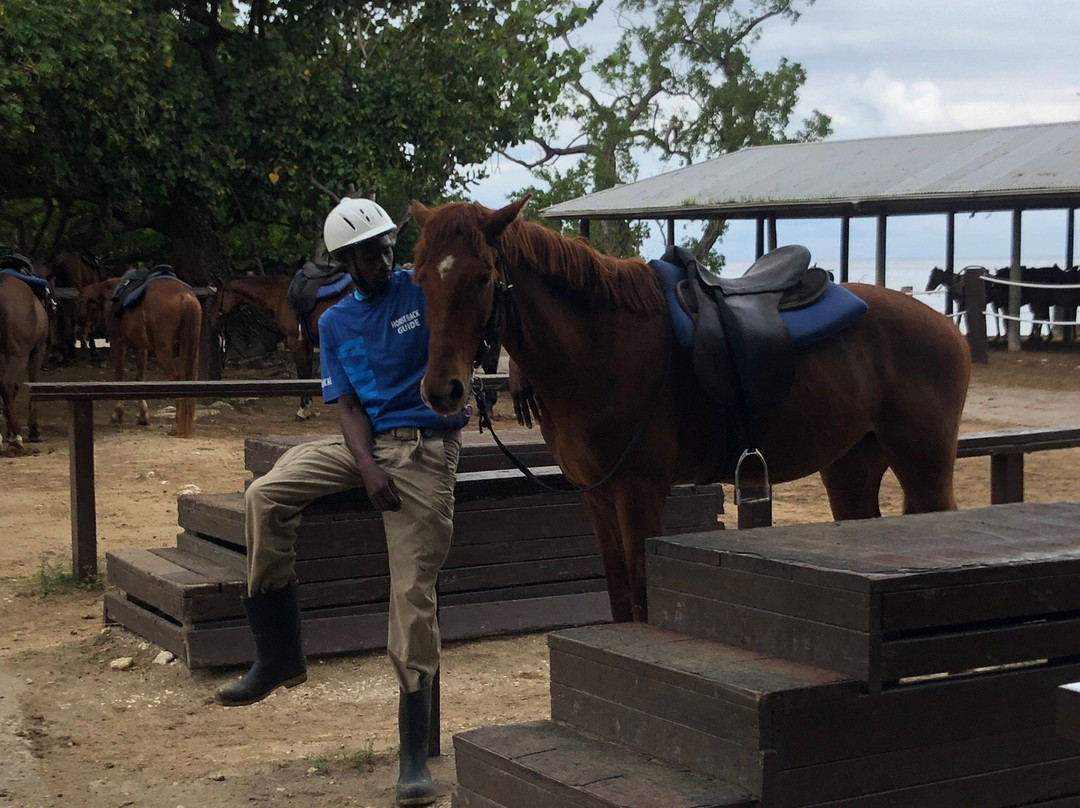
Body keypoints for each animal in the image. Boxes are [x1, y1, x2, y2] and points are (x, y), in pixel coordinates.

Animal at [410, 197, 972, 626]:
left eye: (483, 278)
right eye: (420, 279)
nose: (442, 390)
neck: (602, 346)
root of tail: (947, 327)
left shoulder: (639, 494)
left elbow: (642, 605)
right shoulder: (597, 497)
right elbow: (621, 605)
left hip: (924, 465)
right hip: (851, 467)